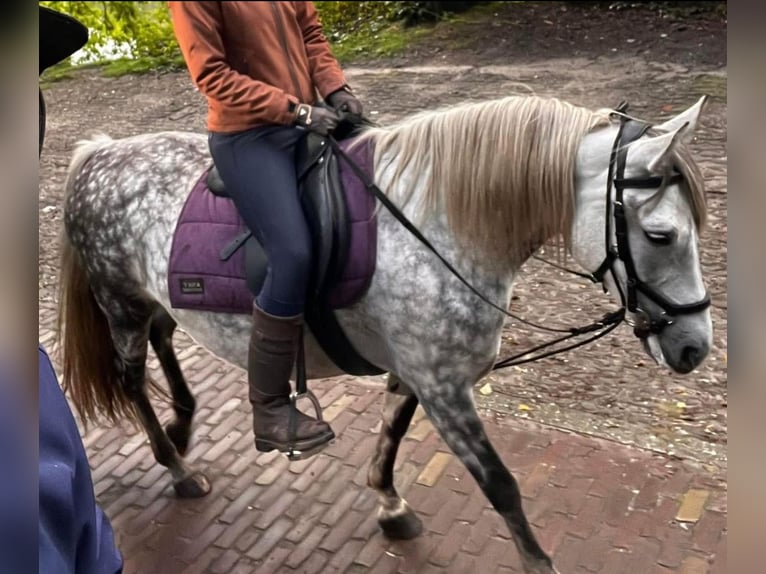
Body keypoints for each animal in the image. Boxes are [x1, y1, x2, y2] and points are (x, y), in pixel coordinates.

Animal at [55, 95, 712, 574]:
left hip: (151, 299)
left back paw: (183, 425)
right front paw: (536, 562)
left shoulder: (420, 374)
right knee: (131, 380)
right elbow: (500, 485)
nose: (694, 348)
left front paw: (389, 504)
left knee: (165, 339)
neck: (437, 225)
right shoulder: (444, 389)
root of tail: (99, 154)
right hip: (119, 304)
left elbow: (393, 430)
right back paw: (177, 465)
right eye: (660, 235)